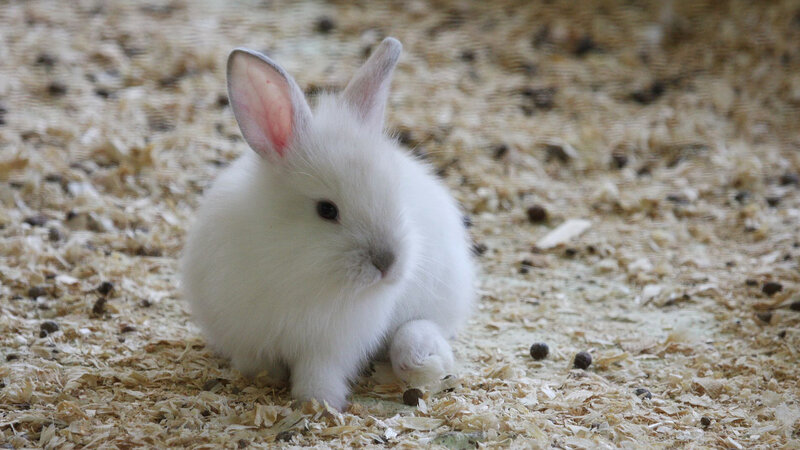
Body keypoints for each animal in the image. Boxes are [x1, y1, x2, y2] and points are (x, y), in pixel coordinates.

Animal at [181, 37, 475, 410]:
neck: (296, 266)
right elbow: (255, 362)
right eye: (326, 210)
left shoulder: (331, 346)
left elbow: (319, 372)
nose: (388, 264)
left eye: (396, 196)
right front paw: (265, 379)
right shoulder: (245, 335)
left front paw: (318, 402)